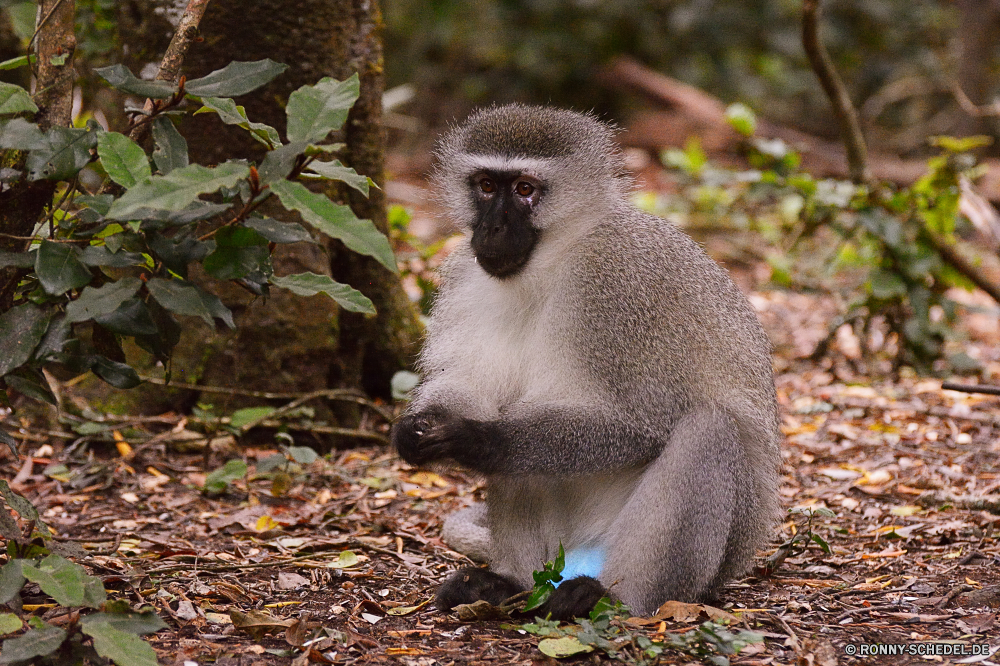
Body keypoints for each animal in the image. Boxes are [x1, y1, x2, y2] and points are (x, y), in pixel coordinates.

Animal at [392, 102, 780, 616]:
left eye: (525, 190)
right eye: (487, 185)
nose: (491, 228)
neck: (553, 261)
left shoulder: (614, 286)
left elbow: (643, 424)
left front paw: (474, 437)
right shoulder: (465, 275)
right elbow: (472, 386)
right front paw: (416, 427)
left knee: (708, 429)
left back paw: (614, 597)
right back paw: (511, 584)